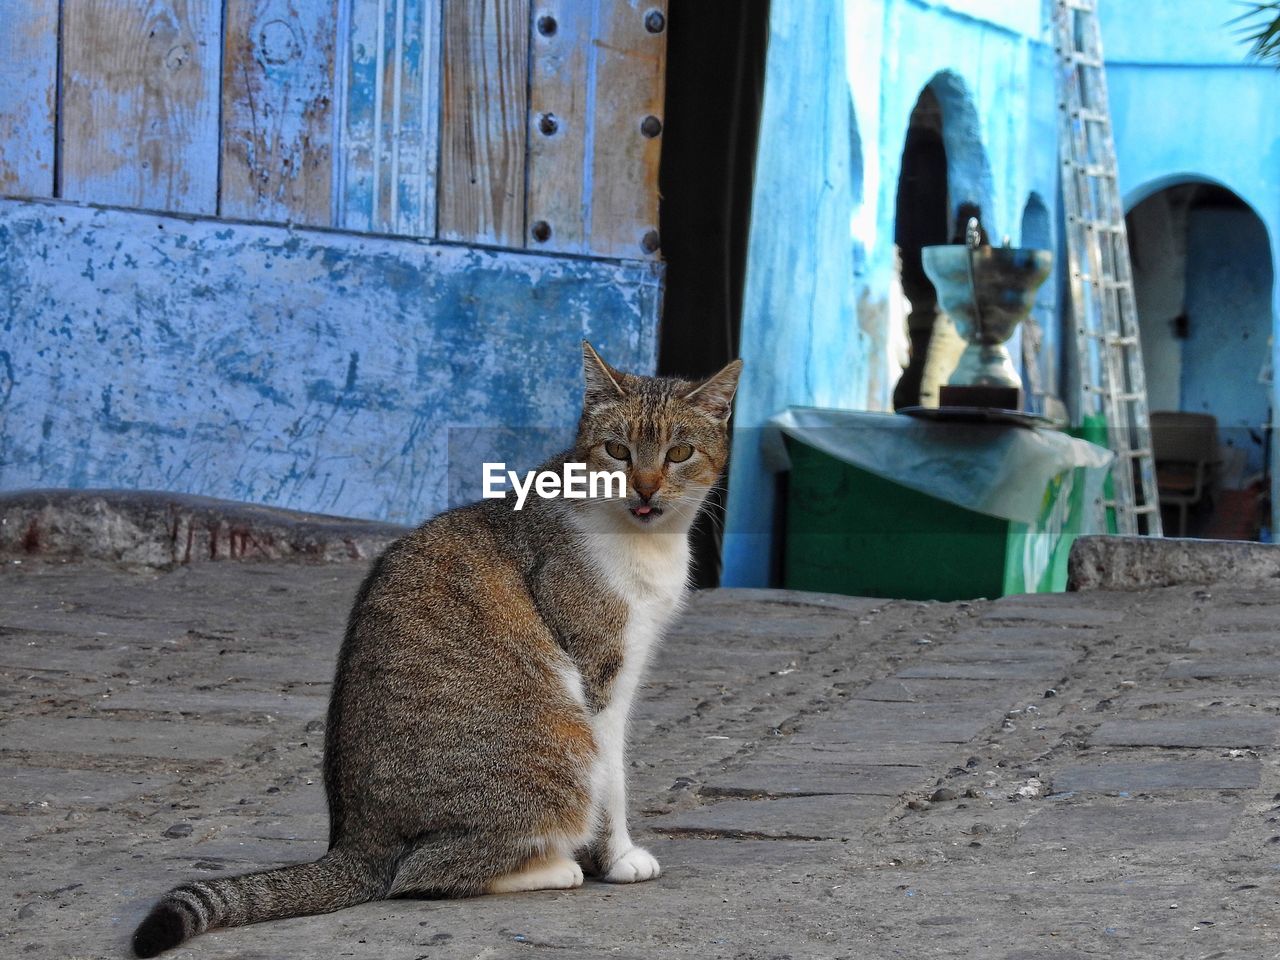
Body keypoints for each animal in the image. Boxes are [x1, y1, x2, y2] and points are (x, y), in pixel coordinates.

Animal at [131, 343, 747, 957]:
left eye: (679, 452)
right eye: (618, 451)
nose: (644, 488)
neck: (644, 540)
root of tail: (357, 842)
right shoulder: (600, 674)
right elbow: (614, 781)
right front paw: (616, 859)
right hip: (561, 743)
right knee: (423, 872)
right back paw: (553, 868)